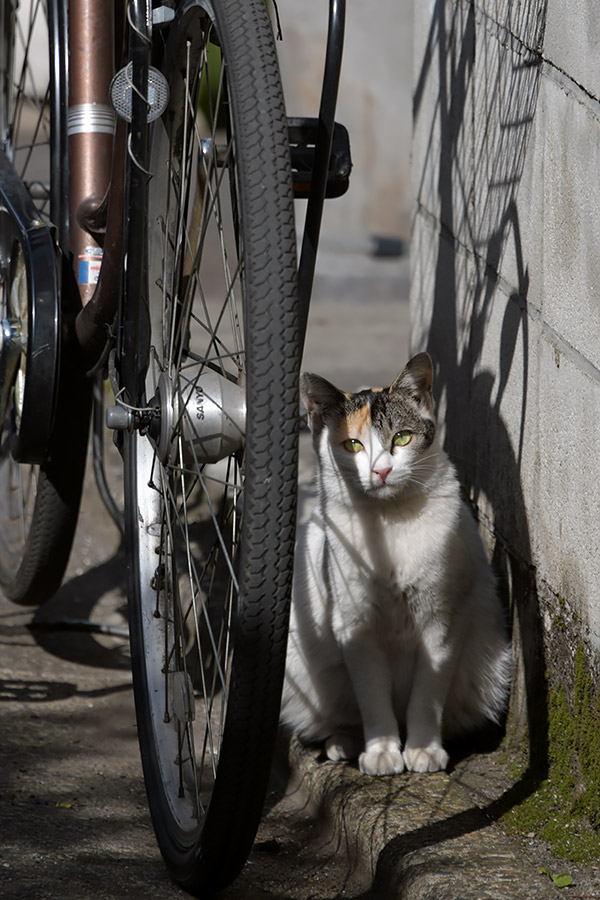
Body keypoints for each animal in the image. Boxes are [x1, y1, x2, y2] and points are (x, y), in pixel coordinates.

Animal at [282, 356, 510, 776]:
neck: (391, 524)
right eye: (352, 445)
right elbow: (372, 695)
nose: (382, 471)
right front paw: (382, 751)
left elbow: (428, 694)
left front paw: (423, 750)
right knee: (341, 713)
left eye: (402, 438)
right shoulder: (355, 626)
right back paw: (344, 743)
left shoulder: (442, 623)